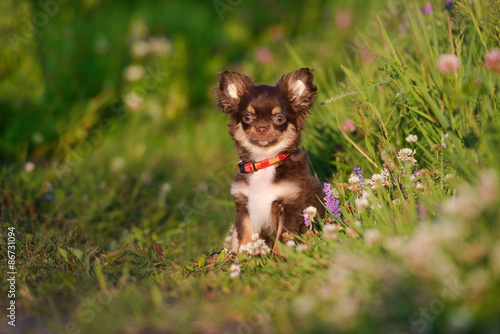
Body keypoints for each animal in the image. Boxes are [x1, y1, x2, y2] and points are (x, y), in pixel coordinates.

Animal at [215, 67, 324, 253]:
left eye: (279, 118)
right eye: (247, 117)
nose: (261, 128)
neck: (264, 161)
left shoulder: (290, 205)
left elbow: (283, 239)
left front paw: (280, 258)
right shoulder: (244, 206)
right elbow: (244, 236)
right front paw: (243, 256)